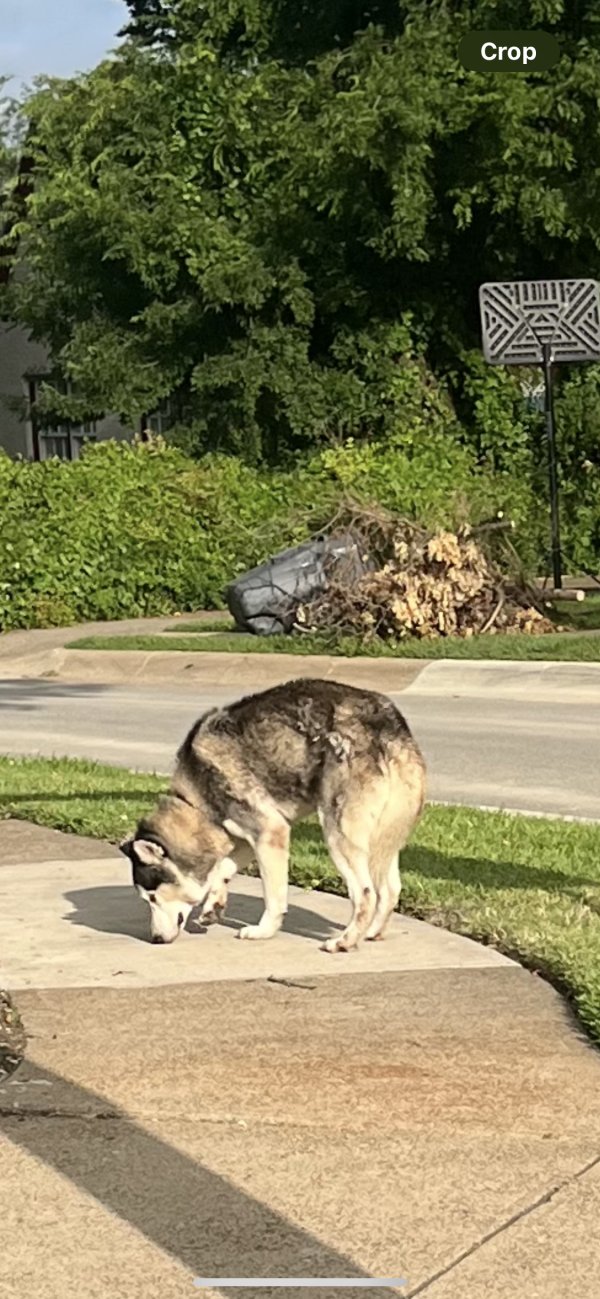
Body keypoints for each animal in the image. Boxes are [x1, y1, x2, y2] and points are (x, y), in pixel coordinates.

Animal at [119, 685, 423, 950]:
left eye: (152, 897)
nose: (155, 939)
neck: (195, 801)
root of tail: (388, 726)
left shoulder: (270, 832)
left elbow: (273, 895)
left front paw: (264, 931)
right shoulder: (242, 835)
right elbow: (224, 868)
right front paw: (214, 904)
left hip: (338, 834)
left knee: (366, 893)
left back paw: (345, 941)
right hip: (385, 834)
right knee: (391, 889)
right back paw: (373, 932)